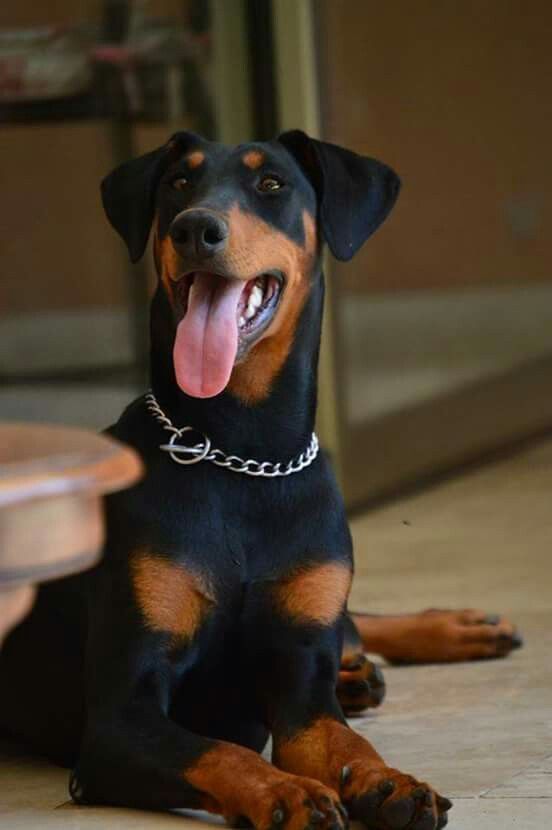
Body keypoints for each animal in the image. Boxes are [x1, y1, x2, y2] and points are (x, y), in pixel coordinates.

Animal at [0, 130, 520, 830]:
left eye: (271, 183)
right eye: (179, 184)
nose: (196, 229)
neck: (243, 451)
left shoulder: (301, 687)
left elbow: (346, 741)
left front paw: (390, 781)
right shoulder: (116, 720)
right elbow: (223, 751)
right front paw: (286, 792)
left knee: (354, 623)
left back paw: (451, 630)